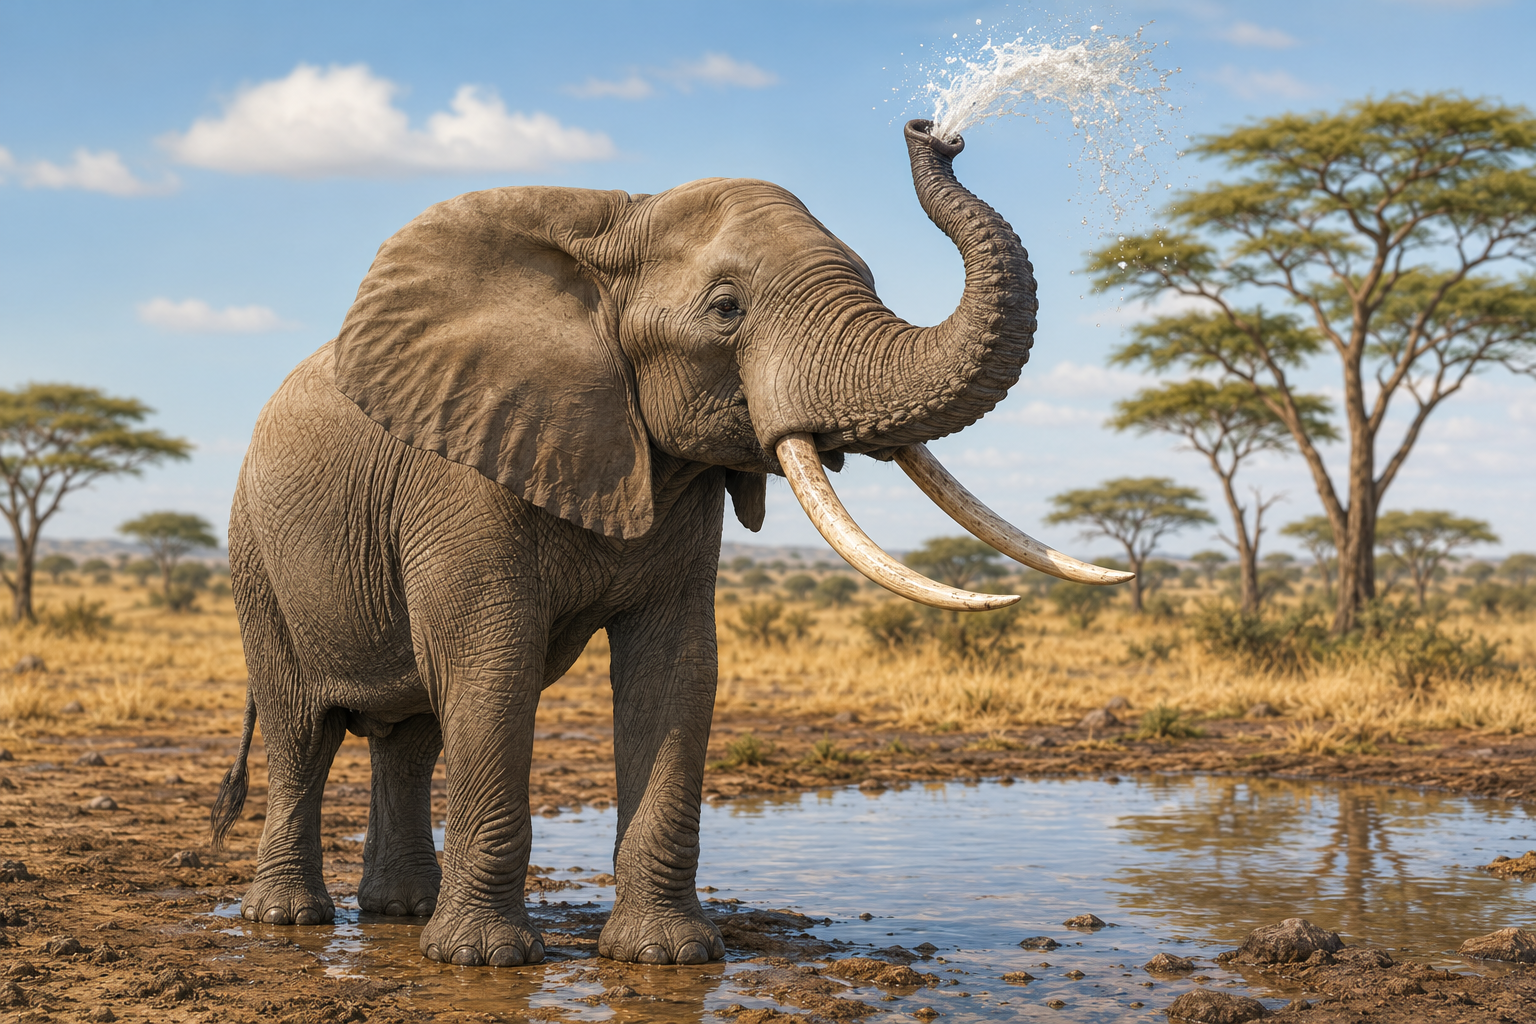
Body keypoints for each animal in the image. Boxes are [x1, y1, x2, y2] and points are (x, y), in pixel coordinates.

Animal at [210, 119, 1128, 969]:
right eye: (726, 309)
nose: (934, 132)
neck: (610, 229)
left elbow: (676, 667)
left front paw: (667, 956)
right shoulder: (461, 469)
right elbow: (490, 664)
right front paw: (486, 962)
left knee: (411, 735)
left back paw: (400, 912)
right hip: (253, 553)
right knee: (304, 730)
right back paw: (289, 919)